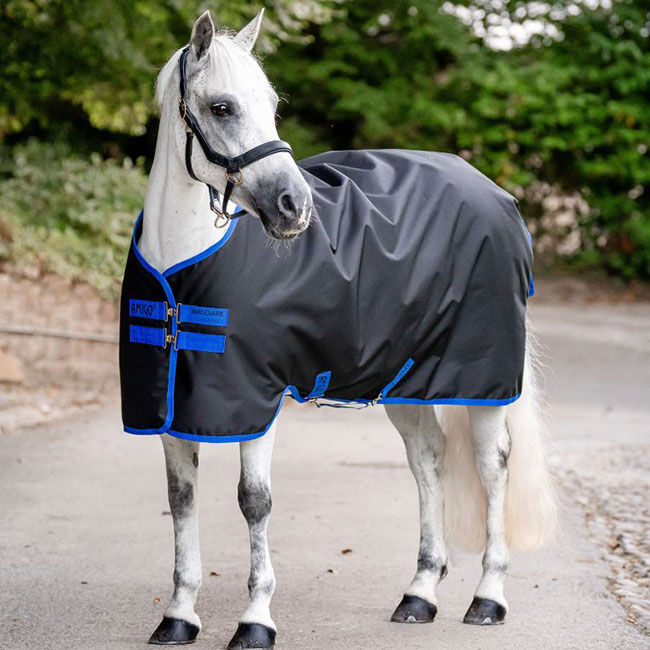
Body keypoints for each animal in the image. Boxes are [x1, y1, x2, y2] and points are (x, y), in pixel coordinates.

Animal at [126, 9, 557, 648]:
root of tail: (499, 197)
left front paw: (256, 620)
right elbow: (182, 501)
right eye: (222, 107)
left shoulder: (257, 401)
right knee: (427, 460)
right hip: (406, 382)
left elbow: (254, 501)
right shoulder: (174, 411)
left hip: (482, 381)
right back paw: (420, 593)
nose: (294, 206)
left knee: (492, 466)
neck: (182, 272)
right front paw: (178, 615)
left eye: (272, 104)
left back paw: (488, 597)